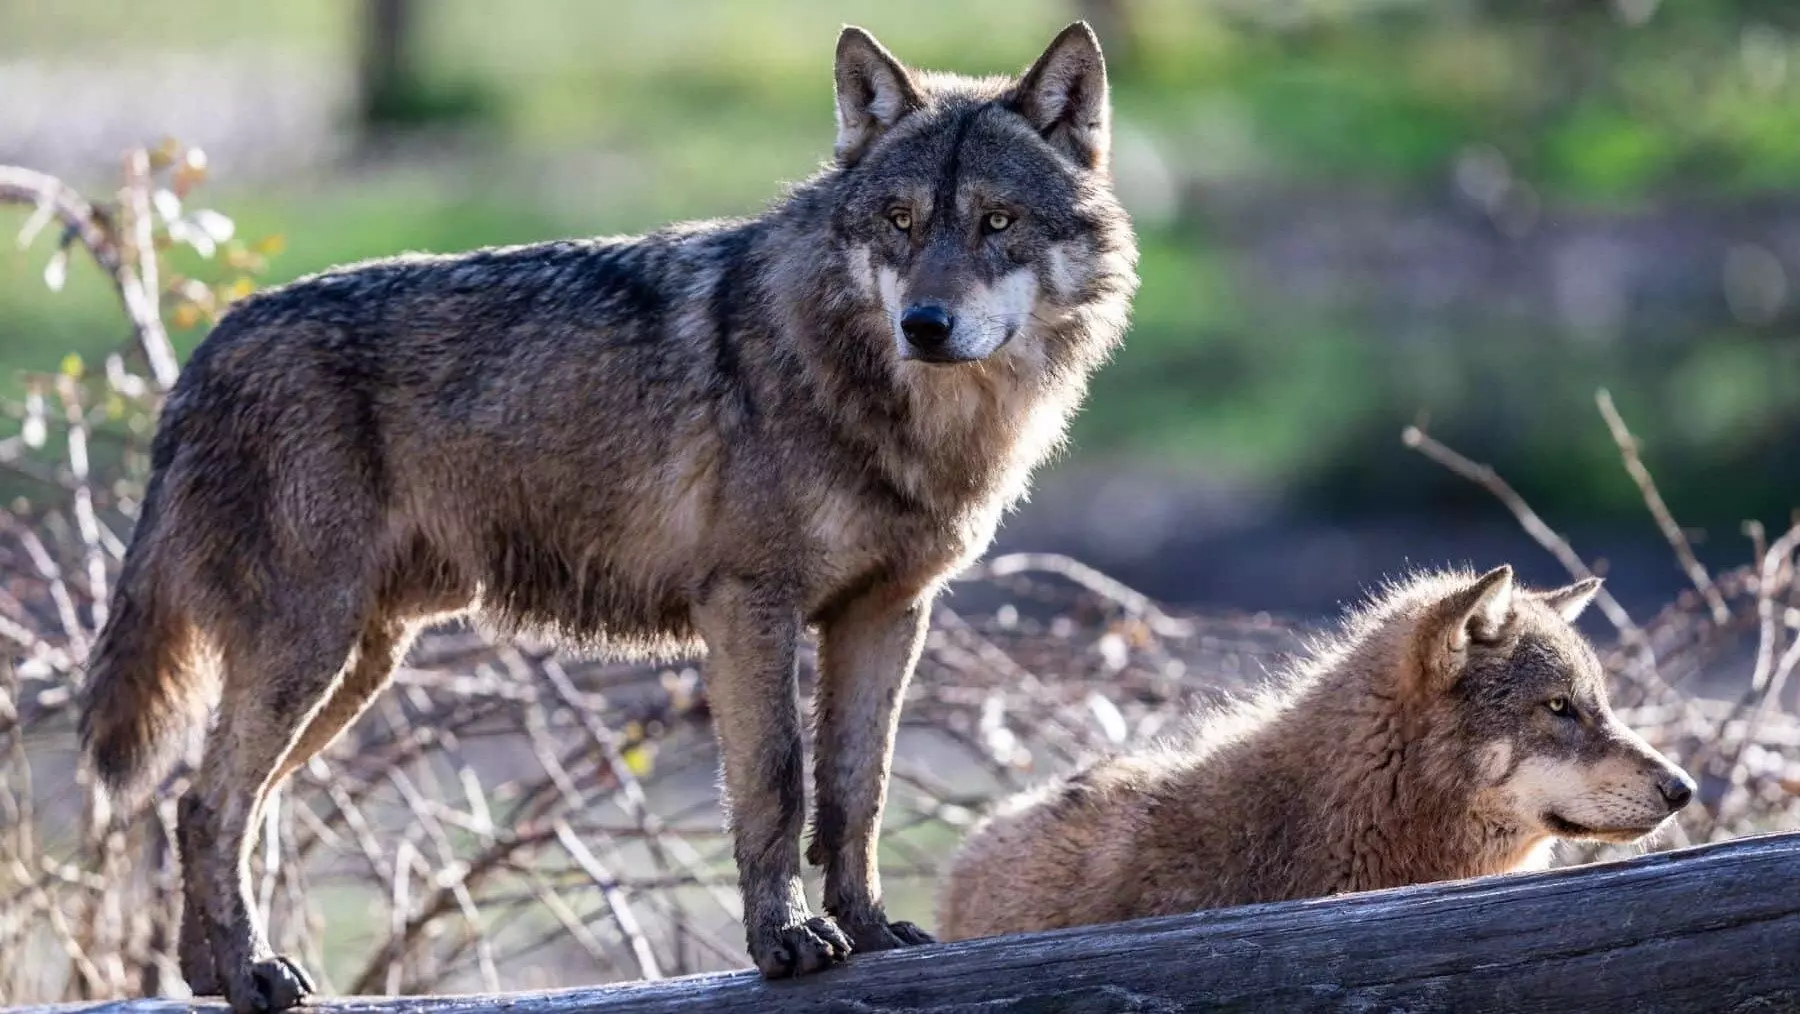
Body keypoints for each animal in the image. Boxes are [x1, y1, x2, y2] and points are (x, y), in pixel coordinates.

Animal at [76, 21, 1136, 1011]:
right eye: (900, 221)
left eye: (997, 220)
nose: (924, 324)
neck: (904, 416)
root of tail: (206, 352)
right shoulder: (749, 606)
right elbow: (777, 786)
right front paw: (787, 943)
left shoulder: (885, 614)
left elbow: (855, 793)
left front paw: (870, 933)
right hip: (313, 650)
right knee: (210, 803)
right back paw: (252, 973)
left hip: (356, 666)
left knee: (208, 803)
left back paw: (210, 975)